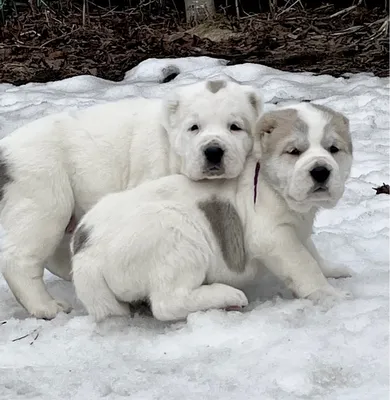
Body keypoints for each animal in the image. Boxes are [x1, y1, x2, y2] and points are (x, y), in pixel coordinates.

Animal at [0, 79, 264, 318]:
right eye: (194, 127)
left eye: (235, 127)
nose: (213, 151)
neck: (169, 144)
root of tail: (4, 151)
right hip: (43, 200)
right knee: (19, 259)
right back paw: (46, 306)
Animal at [70, 103, 354, 322]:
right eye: (294, 151)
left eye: (333, 149)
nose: (320, 171)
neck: (270, 184)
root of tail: (85, 254)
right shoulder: (273, 237)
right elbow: (304, 265)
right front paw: (329, 294)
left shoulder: (298, 231)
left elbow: (312, 253)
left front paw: (333, 270)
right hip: (177, 235)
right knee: (167, 303)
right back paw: (227, 295)